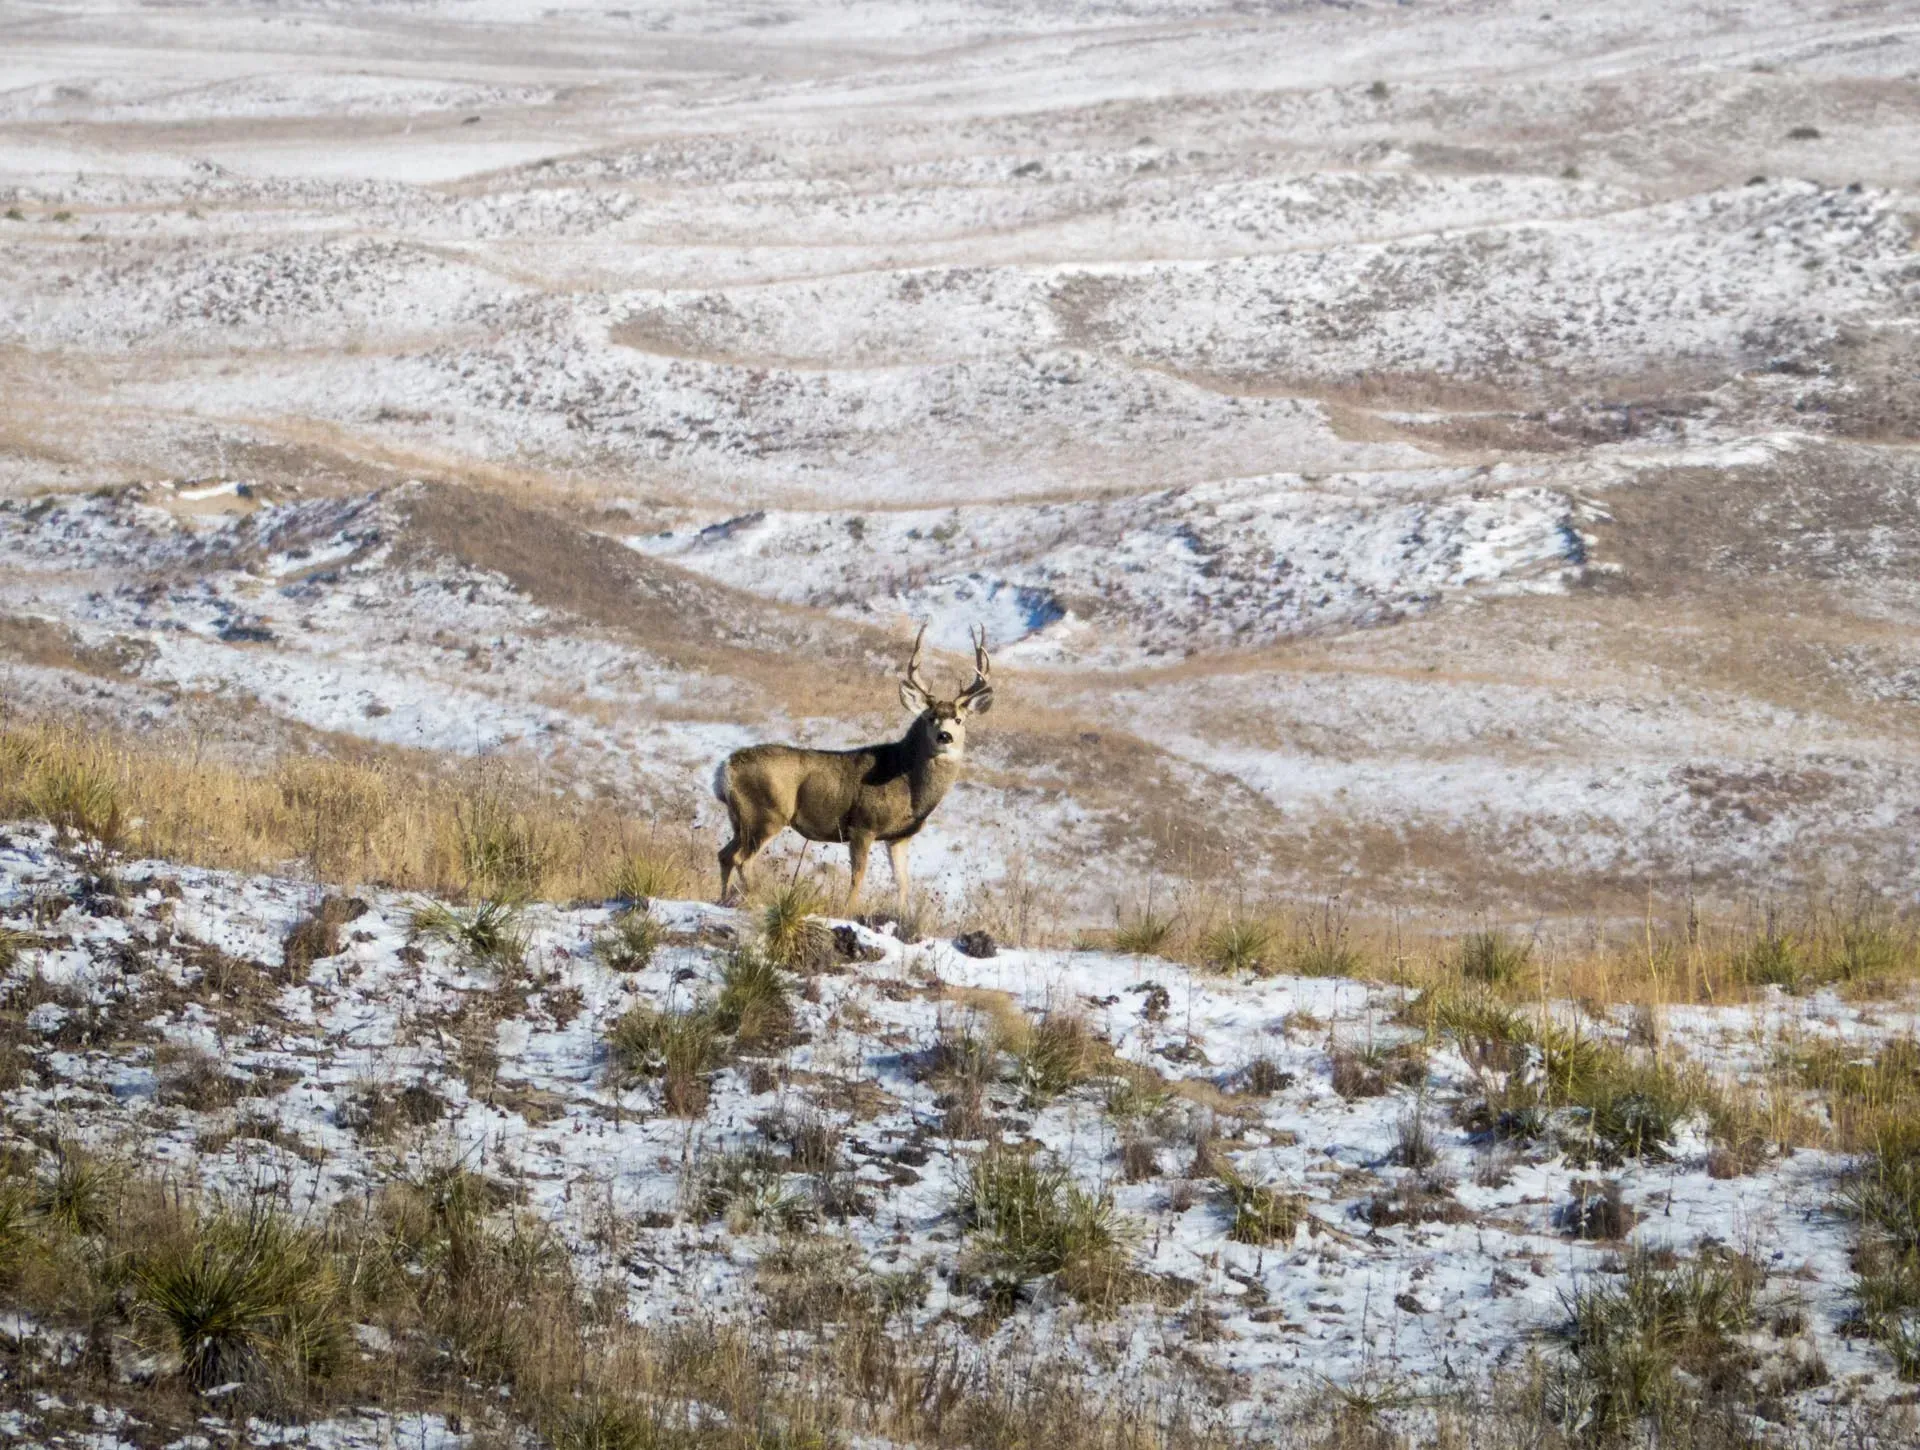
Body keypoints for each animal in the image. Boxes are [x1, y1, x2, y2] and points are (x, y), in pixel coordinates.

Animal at [712, 624, 994, 912]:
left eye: (959, 719)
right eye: (930, 717)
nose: (944, 736)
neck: (908, 782)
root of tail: (726, 767)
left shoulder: (899, 837)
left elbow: (903, 882)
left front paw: (902, 914)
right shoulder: (863, 825)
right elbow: (858, 875)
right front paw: (848, 911)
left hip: (741, 818)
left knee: (725, 854)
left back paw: (724, 898)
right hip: (765, 814)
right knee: (742, 859)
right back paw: (753, 899)